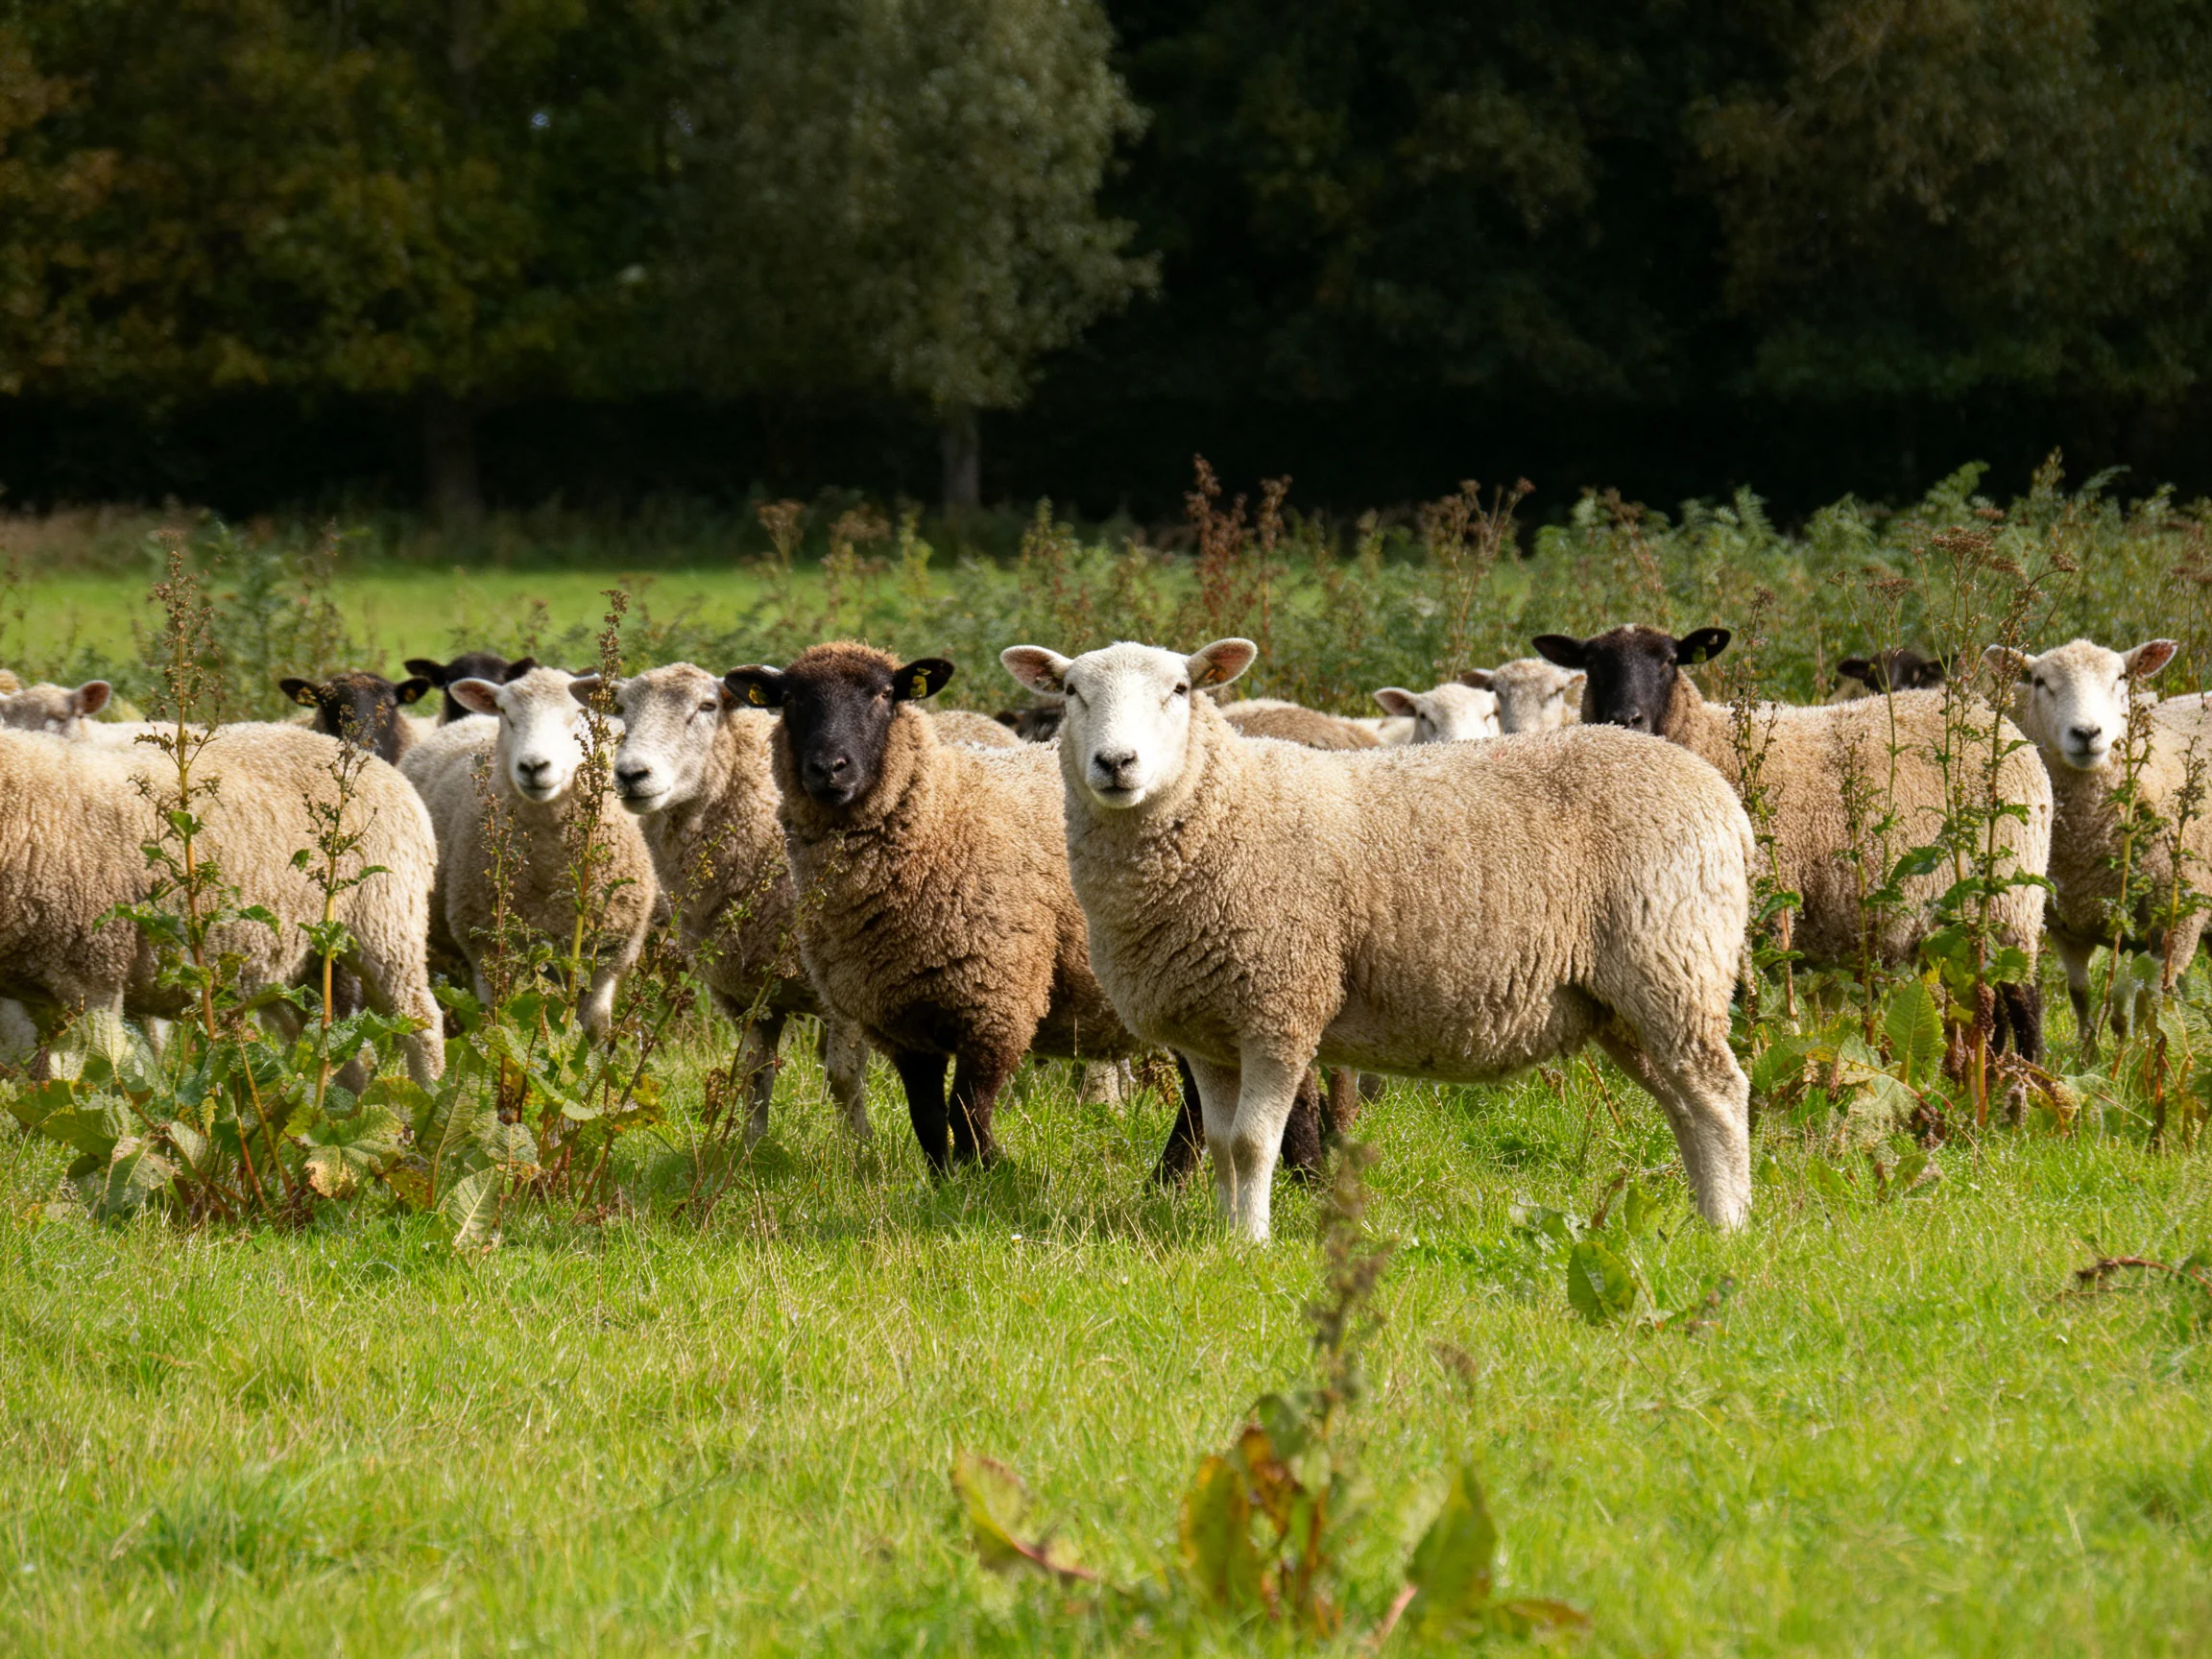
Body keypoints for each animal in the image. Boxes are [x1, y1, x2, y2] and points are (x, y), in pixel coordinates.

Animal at [0, 723, 443, 1084]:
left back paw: (428, 1107)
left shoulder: (95, 973)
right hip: (307, 967)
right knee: (325, 1047)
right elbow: (45, 1079)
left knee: (421, 1022)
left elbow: (99, 1070)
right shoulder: (40, 994)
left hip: (386, 926)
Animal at [399, 667, 658, 1037]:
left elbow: (594, 1027)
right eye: (506, 713)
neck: (550, 871)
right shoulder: (489, 946)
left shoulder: (611, 949)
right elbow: (496, 1017)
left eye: (577, 714)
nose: (534, 767)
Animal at [592, 662, 871, 1145]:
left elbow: (842, 1077)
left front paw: (864, 1152)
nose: (631, 774)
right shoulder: (744, 994)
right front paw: (748, 1149)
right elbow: (752, 1076)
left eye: (707, 706)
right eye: (622, 709)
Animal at [1534, 625, 2053, 1058]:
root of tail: (1994, 719)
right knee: (1988, 995)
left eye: (1669, 660)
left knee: (2023, 996)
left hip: (2011, 894)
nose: (1626, 718)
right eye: (1592, 663)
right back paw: (1992, 1067)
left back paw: (2022, 1080)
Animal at [1983, 637, 2212, 1041]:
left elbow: (2153, 1004)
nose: (2087, 734)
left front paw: (2142, 1052)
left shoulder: (2176, 924)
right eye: (2039, 681)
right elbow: (2081, 996)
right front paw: (2089, 1051)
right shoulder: (2066, 924)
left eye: (2121, 678)